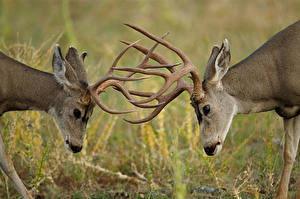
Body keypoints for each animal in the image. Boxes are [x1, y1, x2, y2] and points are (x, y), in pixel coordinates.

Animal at [0, 39, 177, 198]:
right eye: (77, 112)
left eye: (91, 114)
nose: (77, 146)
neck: (10, 86)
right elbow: (7, 162)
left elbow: (6, 162)